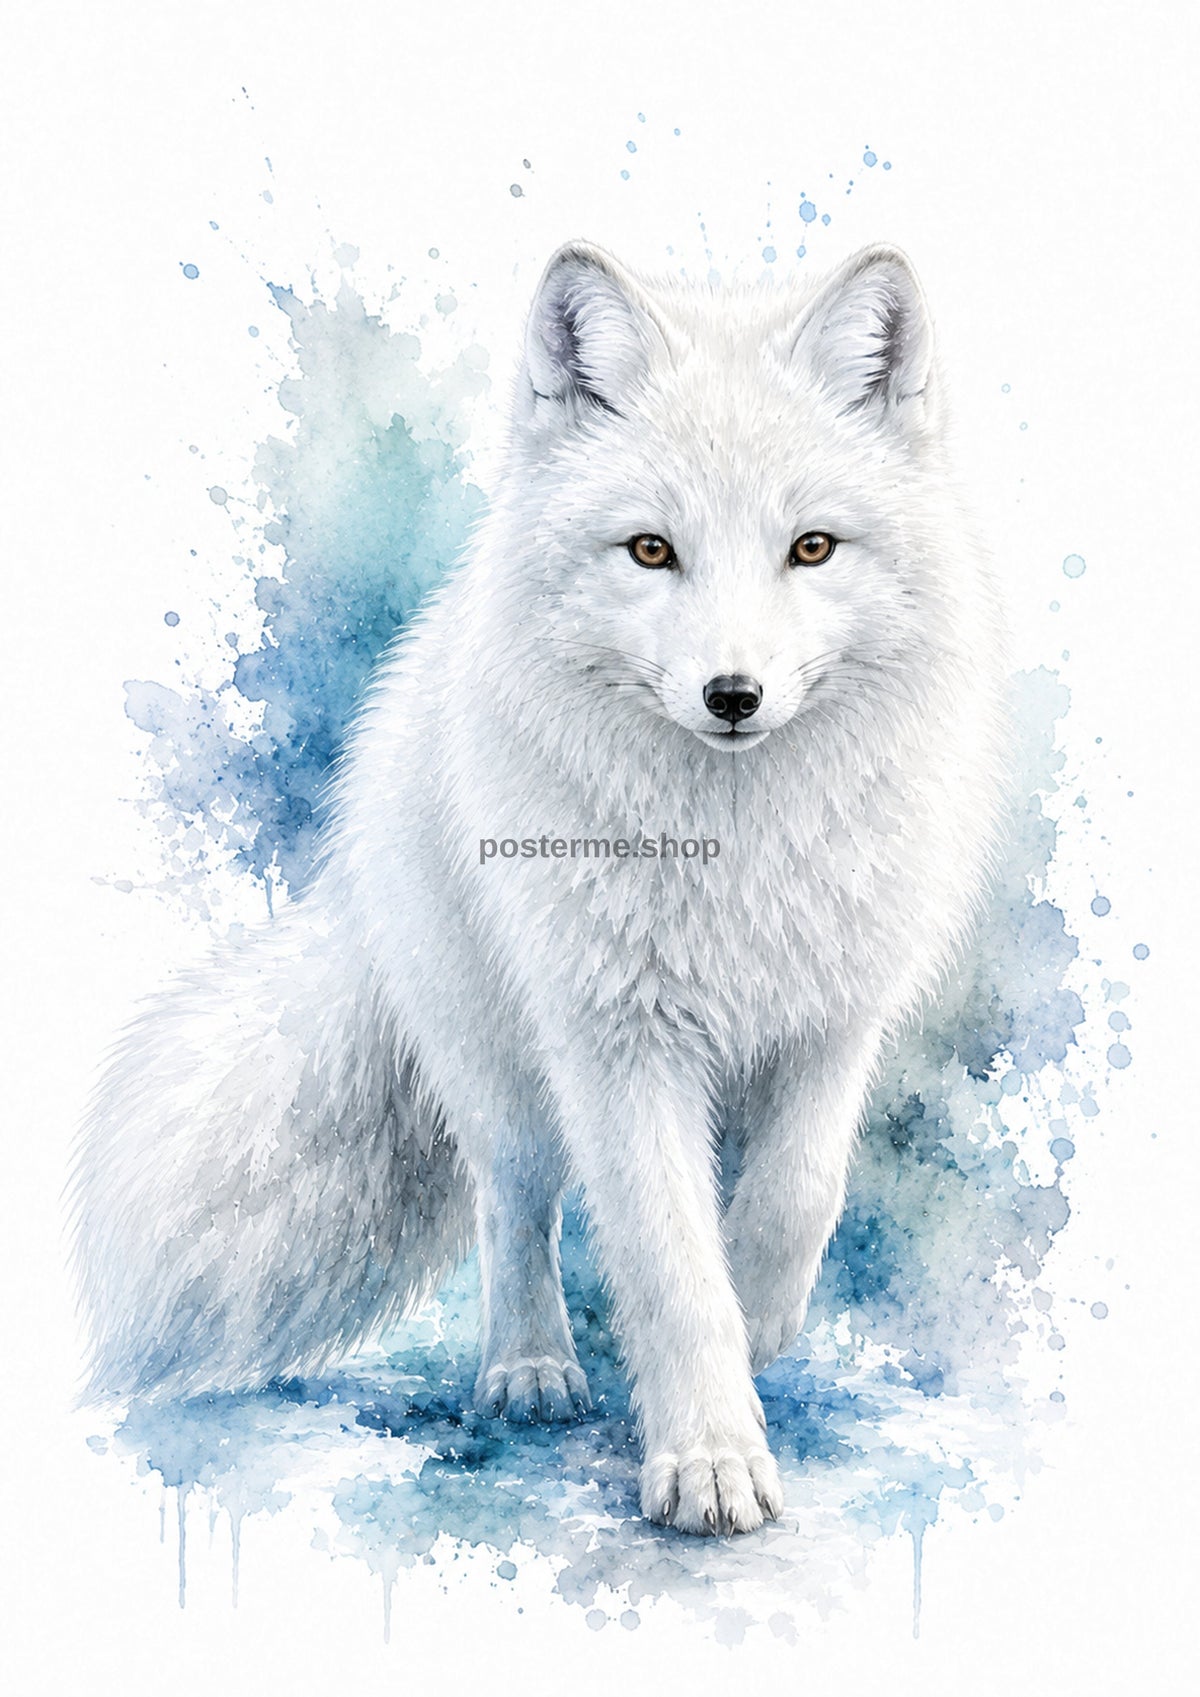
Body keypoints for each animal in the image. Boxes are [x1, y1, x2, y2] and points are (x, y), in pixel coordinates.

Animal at [73, 241, 1006, 1537]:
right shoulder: (618, 1040)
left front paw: (762, 1318)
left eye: (812, 547)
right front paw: (710, 1457)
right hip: (507, 1069)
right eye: (652, 550)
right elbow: (668, 1260)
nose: (732, 694)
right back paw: (531, 1366)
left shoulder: (833, 1018)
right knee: (512, 1204)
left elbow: (796, 1197)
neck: (733, 851)